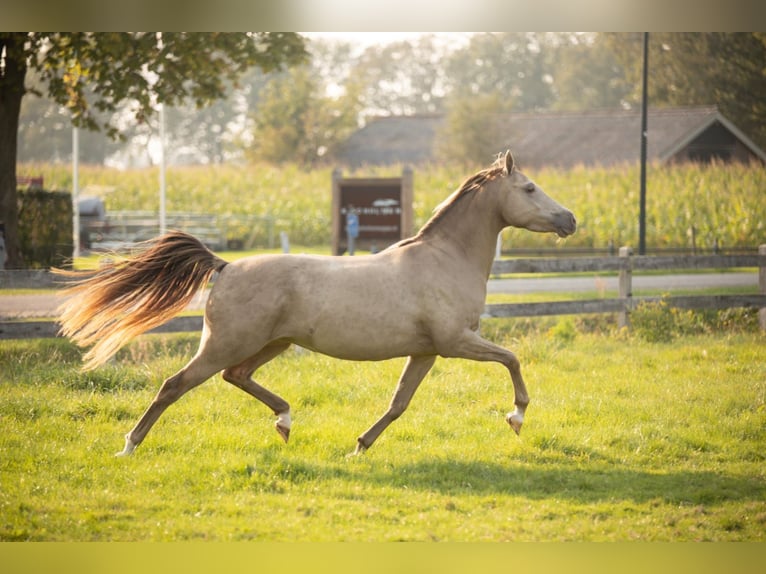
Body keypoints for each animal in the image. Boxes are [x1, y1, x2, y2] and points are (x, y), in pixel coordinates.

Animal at [55, 152, 576, 460]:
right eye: (529, 188)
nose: (570, 219)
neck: (445, 258)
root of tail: (225, 266)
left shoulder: (426, 351)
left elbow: (398, 404)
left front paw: (360, 447)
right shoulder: (455, 342)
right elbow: (512, 359)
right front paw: (516, 417)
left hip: (272, 344)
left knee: (236, 377)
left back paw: (285, 422)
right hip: (226, 344)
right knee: (174, 385)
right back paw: (128, 447)